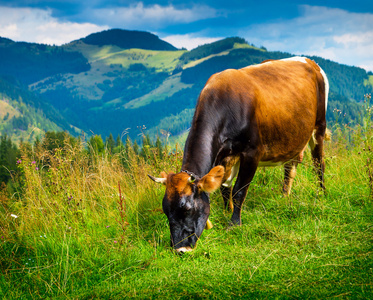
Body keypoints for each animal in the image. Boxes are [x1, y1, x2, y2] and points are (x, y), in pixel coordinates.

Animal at [148, 56, 328, 253]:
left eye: (187, 208)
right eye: (166, 211)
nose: (180, 249)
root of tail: (308, 61)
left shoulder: (252, 153)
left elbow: (239, 190)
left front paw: (234, 223)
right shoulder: (224, 157)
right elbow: (225, 188)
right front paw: (227, 211)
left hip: (319, 125)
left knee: (319, 164)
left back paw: (322, 193)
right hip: (293, 137)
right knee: (290, 168)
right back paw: (284, 195)